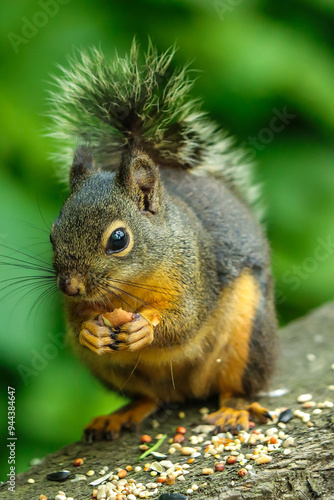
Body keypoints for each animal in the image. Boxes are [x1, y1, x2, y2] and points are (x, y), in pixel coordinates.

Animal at [49, 41, 276, 440]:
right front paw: (91, 330)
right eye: (51, 234)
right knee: (151, 398)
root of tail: (187, 391)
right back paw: (121, 414)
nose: (69, 286)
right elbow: (78, 324)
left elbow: (184, 321)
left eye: (118, 239)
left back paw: (233, 408)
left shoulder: (196, 275)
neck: (129, 289)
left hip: (247, 338)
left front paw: (146, 326)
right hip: (113, 371)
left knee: (233, 386)